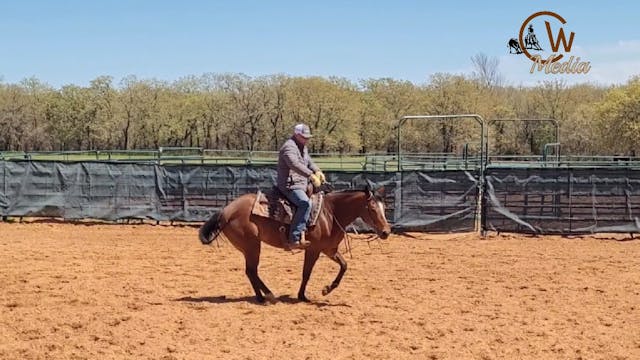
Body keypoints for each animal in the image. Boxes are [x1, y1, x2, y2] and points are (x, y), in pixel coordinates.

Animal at [199, 186, 390, 304]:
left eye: (385, 208)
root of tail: (226, 211)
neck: (330, 213)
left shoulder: (329, 250)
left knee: (251, 272)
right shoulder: (313, 250)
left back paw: (262, 297)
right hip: (252, 246)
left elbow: (344, 265)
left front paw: (327, 289)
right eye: (372, 209)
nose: (386, 232)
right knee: (252, 271)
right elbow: (306, 273)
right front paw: (302, 296)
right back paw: (269, 295)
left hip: (250, 247)